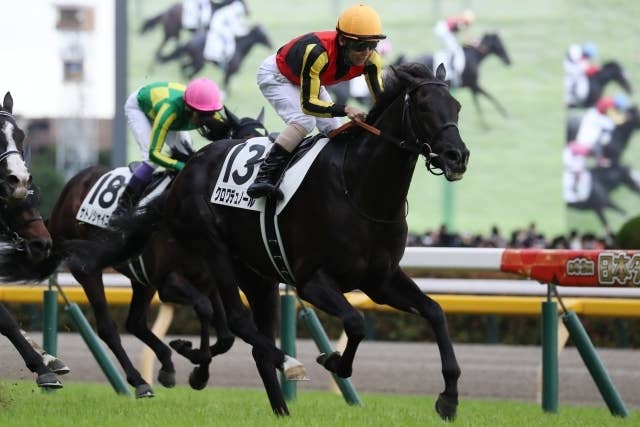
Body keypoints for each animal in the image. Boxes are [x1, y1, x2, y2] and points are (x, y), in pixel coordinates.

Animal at [46, 108, 270, 398]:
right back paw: (139, 380)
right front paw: (194, 358)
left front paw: (198, 371)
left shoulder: (208, 279)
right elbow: (204, 309)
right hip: (88, 270)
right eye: (245, 143)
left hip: (142, 279)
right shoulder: (168, 282)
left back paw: (165, 364)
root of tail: (68, 190)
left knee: (135, 323)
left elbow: (226, 336)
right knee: (108, 328)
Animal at [90, 62, 469, 419]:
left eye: (456, 106)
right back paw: (284, 363)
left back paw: (277, 407)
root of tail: (187, 168)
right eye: (423, 105)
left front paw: (449, 398)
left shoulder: (381, 280)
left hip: (257, 275)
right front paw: (332, 361)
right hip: (214, 250)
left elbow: (434, 312)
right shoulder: (311, 281)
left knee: (254, 342)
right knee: (240, 322)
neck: (360, 189)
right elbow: (355, 322)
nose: (457, 156)